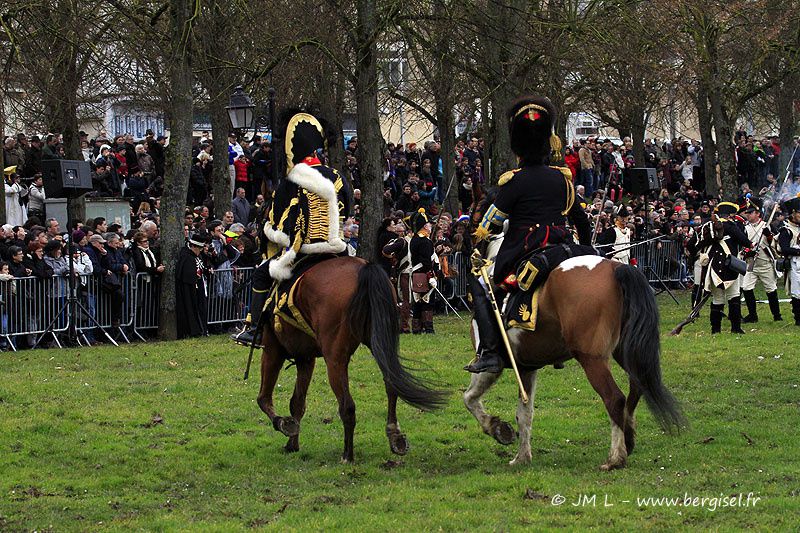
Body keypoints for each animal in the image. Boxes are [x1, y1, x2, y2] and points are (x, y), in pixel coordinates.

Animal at [256, 256, 446, 460]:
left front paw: (283, 424)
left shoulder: (272, 350)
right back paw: (395, 436)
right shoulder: (305, 358)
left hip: (335, 360)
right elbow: (297, 403)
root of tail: (366, 268)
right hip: (381, 344)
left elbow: (264, 398)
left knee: (347, 405)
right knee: (391, 383)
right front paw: (292, 443)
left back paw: (347, 454)